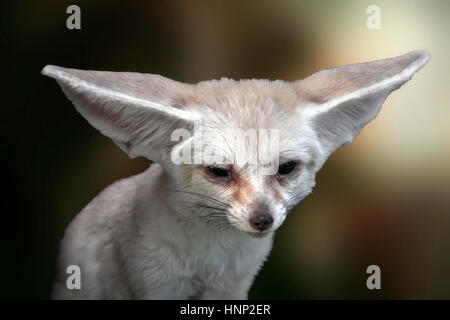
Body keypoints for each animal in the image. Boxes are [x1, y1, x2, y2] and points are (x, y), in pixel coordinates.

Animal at [41, 50, 428, 300]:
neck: (210, 257)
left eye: (286, 168)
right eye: (219, 172)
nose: (262, 219)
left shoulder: (232, 287)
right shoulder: (154, 284)